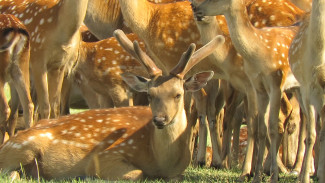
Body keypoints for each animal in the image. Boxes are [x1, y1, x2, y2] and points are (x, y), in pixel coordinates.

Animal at [0, 29, 224, 181]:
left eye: (178, 94)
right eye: (149, 95)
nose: (160, 119)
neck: (161, 161)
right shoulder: (105, 156)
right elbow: (137, 173)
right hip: (24, 147)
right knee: (10, 172)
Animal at [192, 0, 302, 182]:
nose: (195, 7)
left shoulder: (260, 86)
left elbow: (255, 124)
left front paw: (246, 171)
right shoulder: (249, 87)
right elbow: (253, 124)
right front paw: (252, 172)